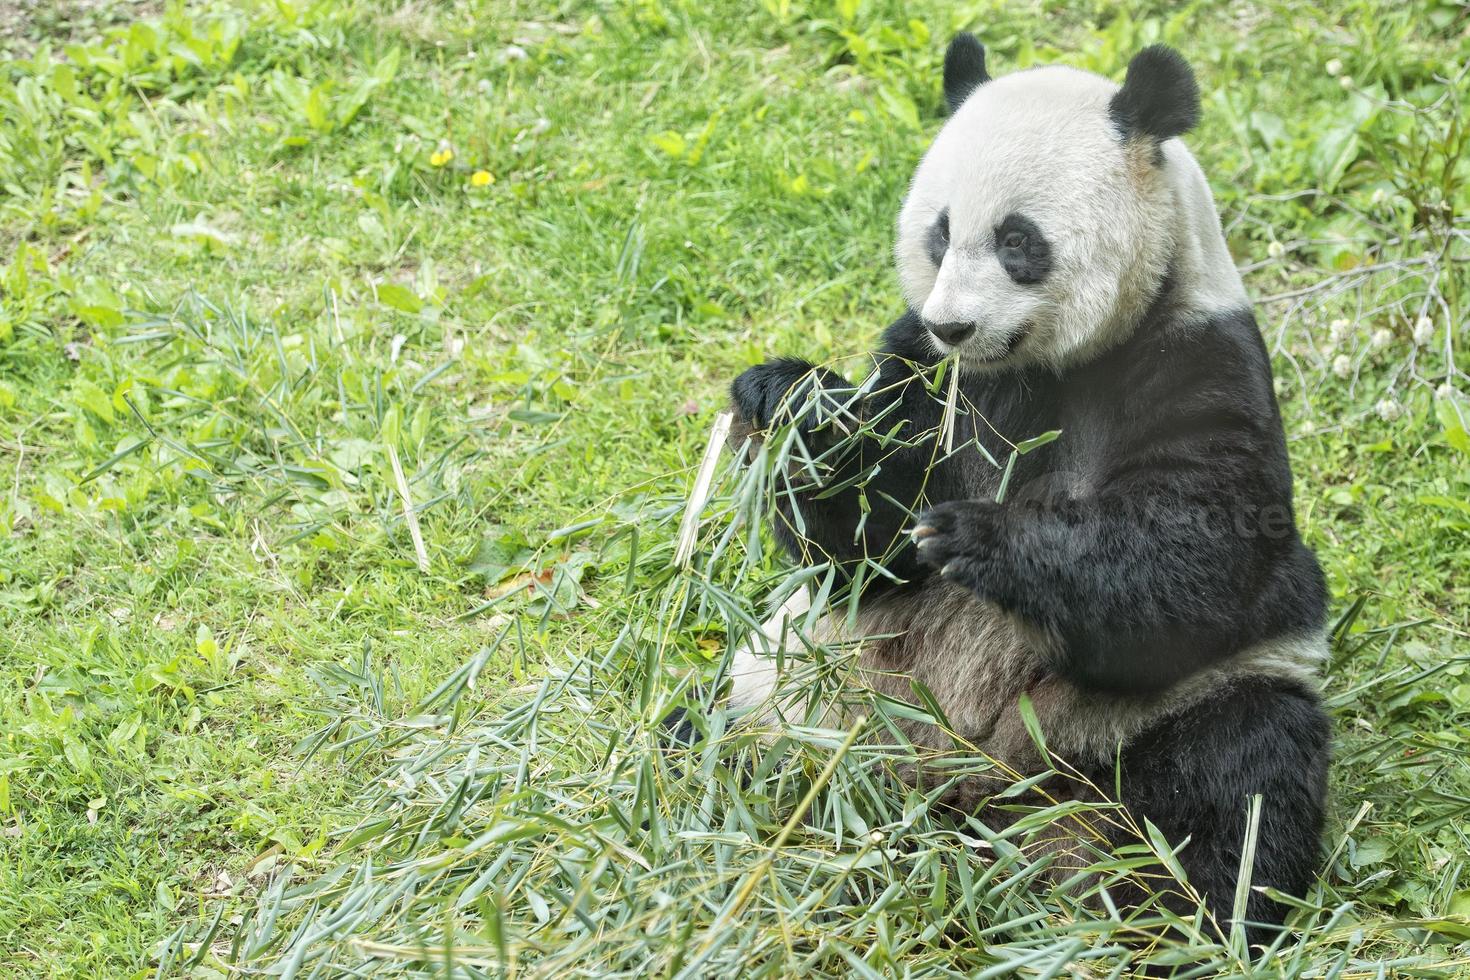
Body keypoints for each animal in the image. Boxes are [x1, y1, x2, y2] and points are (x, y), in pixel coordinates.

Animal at [682, 36, 1340, 940]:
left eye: (1018, 240)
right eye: (939, 232)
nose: (954, 324)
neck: (1039, 365)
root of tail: (973, 797)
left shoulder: (1201, 362)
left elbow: (1195, 558)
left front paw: (980, 538)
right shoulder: (924, 372)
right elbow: (862, 551)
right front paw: (796, 404)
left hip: (1146, 717)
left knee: (1236, 782)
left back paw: (1180, 920)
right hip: (809, 689)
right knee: (717, 731)